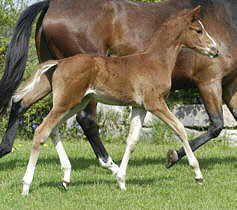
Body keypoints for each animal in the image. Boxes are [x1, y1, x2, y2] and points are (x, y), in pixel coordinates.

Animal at [14, 7, 218, 194]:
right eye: (198, 30)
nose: (215, 51)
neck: (156, 61)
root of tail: (60, 63)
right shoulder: (155, 103)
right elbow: (180, 129)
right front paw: (198, 175)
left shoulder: (139, 107)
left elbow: (132, 140)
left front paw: (121, 180)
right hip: (66, 102)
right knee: (42, 131)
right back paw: (26, 185)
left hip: (76, 103)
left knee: (53, 129)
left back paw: (66, 177)